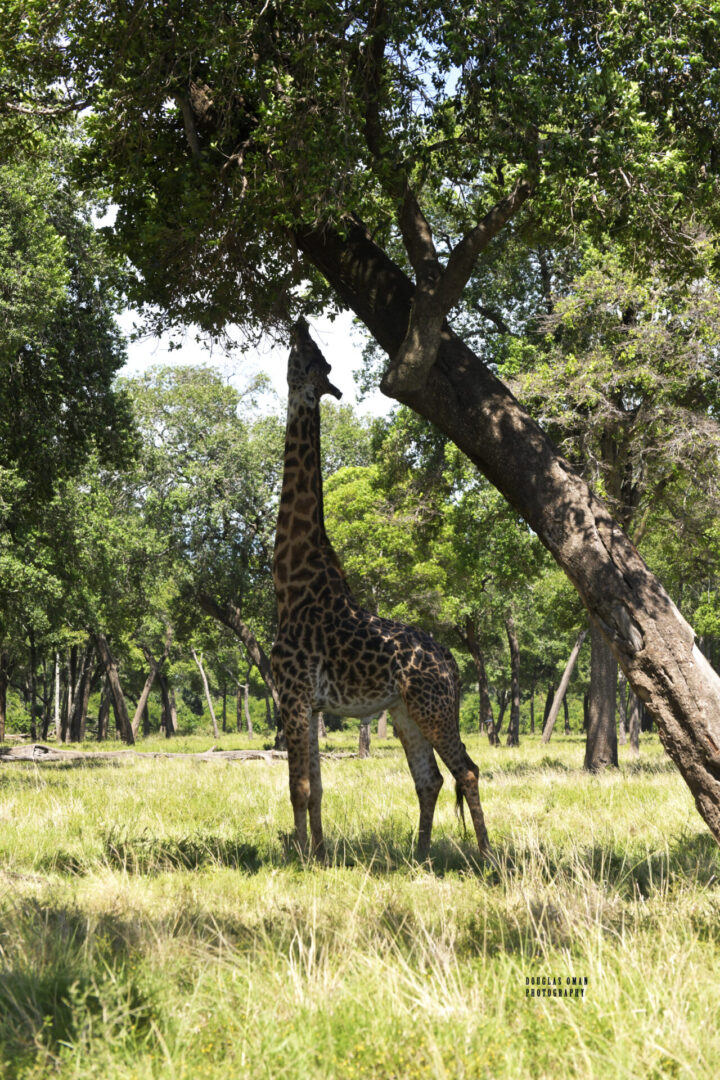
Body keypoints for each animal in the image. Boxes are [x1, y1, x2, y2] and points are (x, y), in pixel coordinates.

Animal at [272, 317, 496, 859]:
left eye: (309, 353)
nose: (300, 320)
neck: (291, 581)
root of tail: (454, 666)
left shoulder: (292, 694)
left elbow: (298, 786)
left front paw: (299, 857)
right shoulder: (310, 704)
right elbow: (317, 786)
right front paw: (320, 854)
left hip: (434, 709)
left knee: (468, 770)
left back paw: (486, 856)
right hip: (404, 712)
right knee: (431, 779)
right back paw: (419, 855)